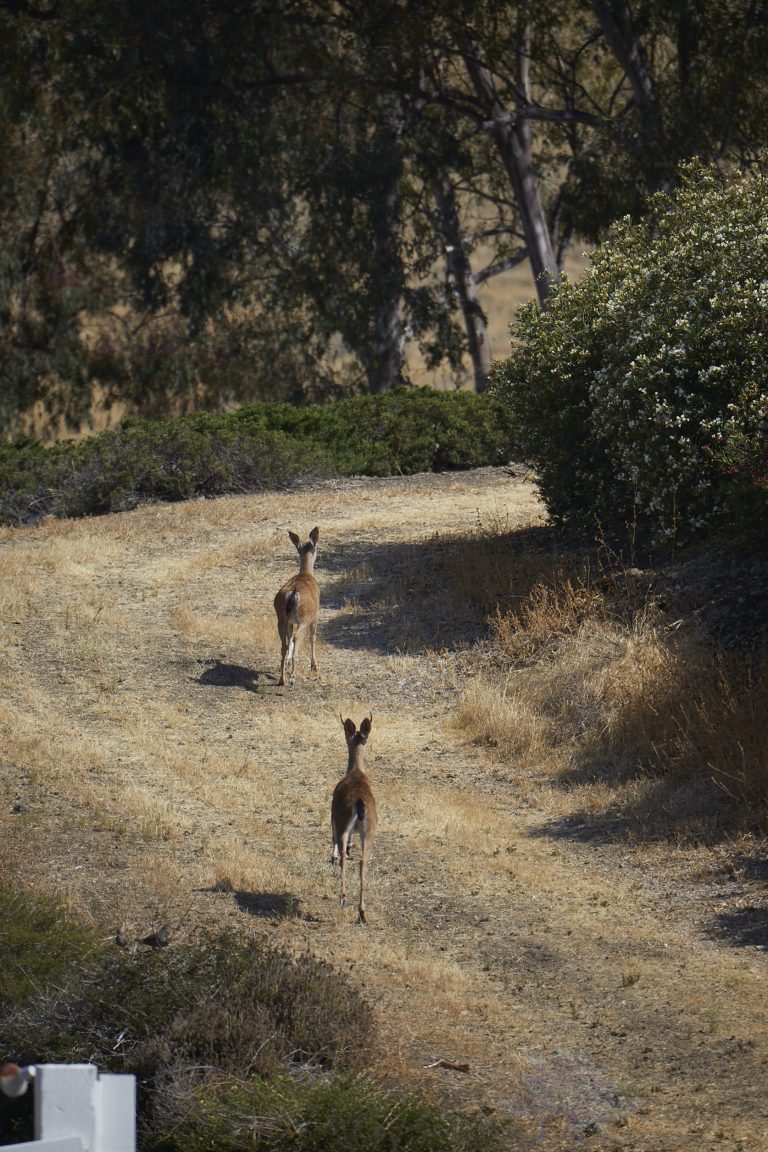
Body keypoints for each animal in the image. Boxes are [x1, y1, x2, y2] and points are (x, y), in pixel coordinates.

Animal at [273, 527, 320, 687]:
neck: (306, 574)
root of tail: (293, 594)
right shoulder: (315, 616)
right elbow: (313, 638)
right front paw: (314, 665)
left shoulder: (290, 621)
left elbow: (289, 638)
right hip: (304, 618)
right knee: (297, 637)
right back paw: (292, 678)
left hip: (281, 617)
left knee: (284, 644)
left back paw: (282, 679)